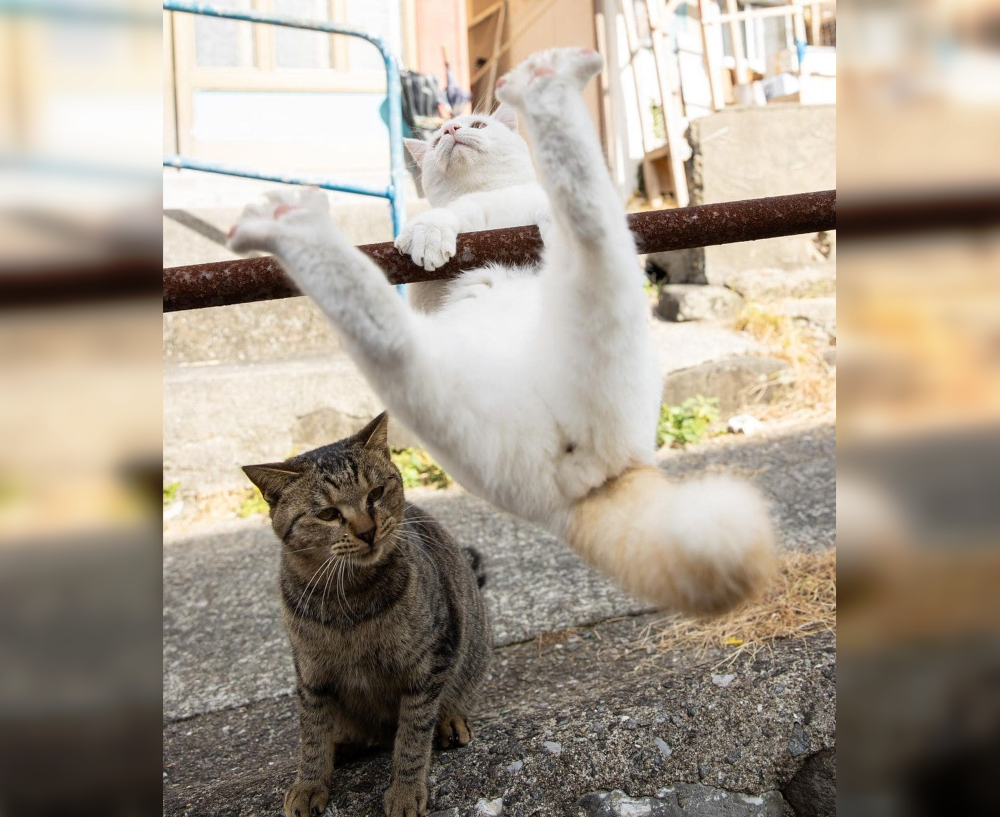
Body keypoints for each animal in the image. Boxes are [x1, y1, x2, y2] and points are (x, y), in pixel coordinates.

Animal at [230, 47, 776, 612]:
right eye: (439, 136)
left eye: (474, 124)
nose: (450, 129)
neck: (484, 199)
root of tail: (599, 474)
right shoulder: (426, 288)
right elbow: (438, 225)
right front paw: (429, 235)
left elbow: (528, 203)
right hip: (442, 379)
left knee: (583, 218)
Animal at [243, 414, 492, 816]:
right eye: (328, 514)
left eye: (375, 494)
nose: (367, 530)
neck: (348, 599)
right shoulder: (311, 675)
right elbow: (312, 735)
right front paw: (309, 783)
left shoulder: (428, 663)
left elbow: (412, 736)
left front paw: (405, 791)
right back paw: (343, 744)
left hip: (471, 651)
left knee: (449, 703)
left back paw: (450, 722)